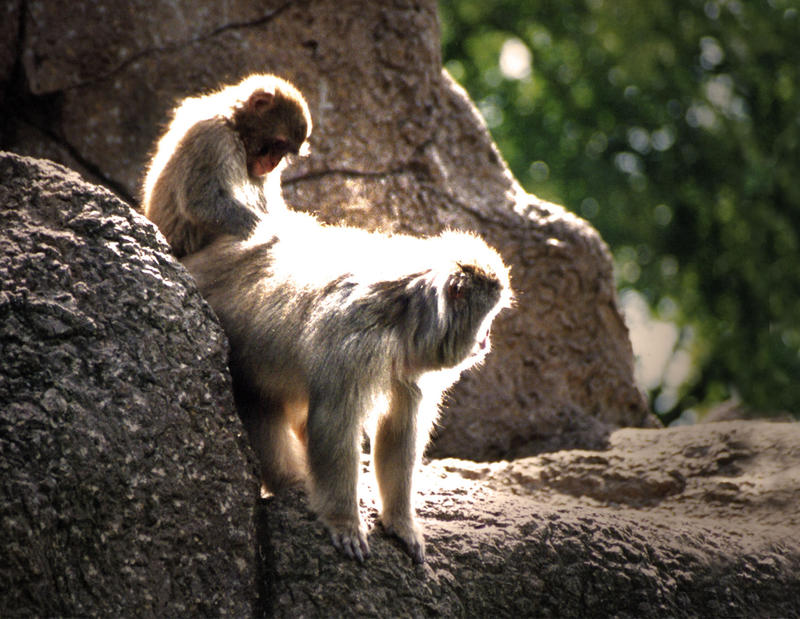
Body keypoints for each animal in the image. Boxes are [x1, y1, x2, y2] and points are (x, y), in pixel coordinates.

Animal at [141, 73, 312, 258]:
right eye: (279, 144)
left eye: (283, 152)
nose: (273, 163)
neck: (234, 124)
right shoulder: (213, 137)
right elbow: (203, 203)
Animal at [182, 209, 512, 563]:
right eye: (488, 315)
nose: (486, 339)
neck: (404, 313)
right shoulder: (352, 340)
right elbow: (334, 422)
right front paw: (343, 520)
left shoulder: (409, 364)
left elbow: (399, 430)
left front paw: (400, 521)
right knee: (259, 401)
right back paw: (291, 482)